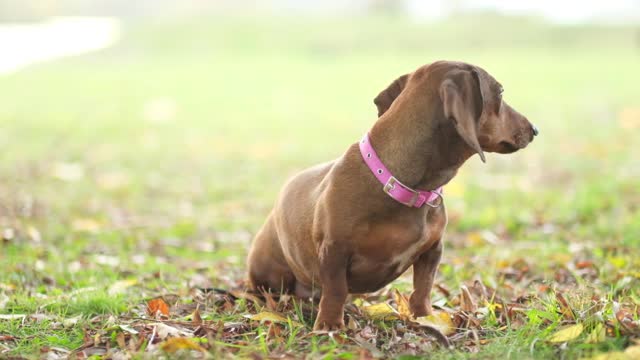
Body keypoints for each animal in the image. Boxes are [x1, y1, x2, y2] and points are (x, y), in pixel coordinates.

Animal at [248, 60, 536, 330]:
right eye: (500, 92)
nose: (535, 130)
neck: (405, 186)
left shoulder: (433, 249)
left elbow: (423, 288)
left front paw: (426, 318)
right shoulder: (333, 250)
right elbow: (336, 290)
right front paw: (330, 324)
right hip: (267, 272)